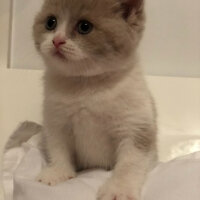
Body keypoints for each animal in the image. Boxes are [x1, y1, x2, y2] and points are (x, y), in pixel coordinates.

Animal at [33, 0, 158, 200]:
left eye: (85, 26)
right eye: (50, 22)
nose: (57, 40)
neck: (87, 86)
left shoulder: (135, 124)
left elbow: (131, 161)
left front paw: (120, 188)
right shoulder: (56, 122)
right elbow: (58, 148)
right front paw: (58, 172)